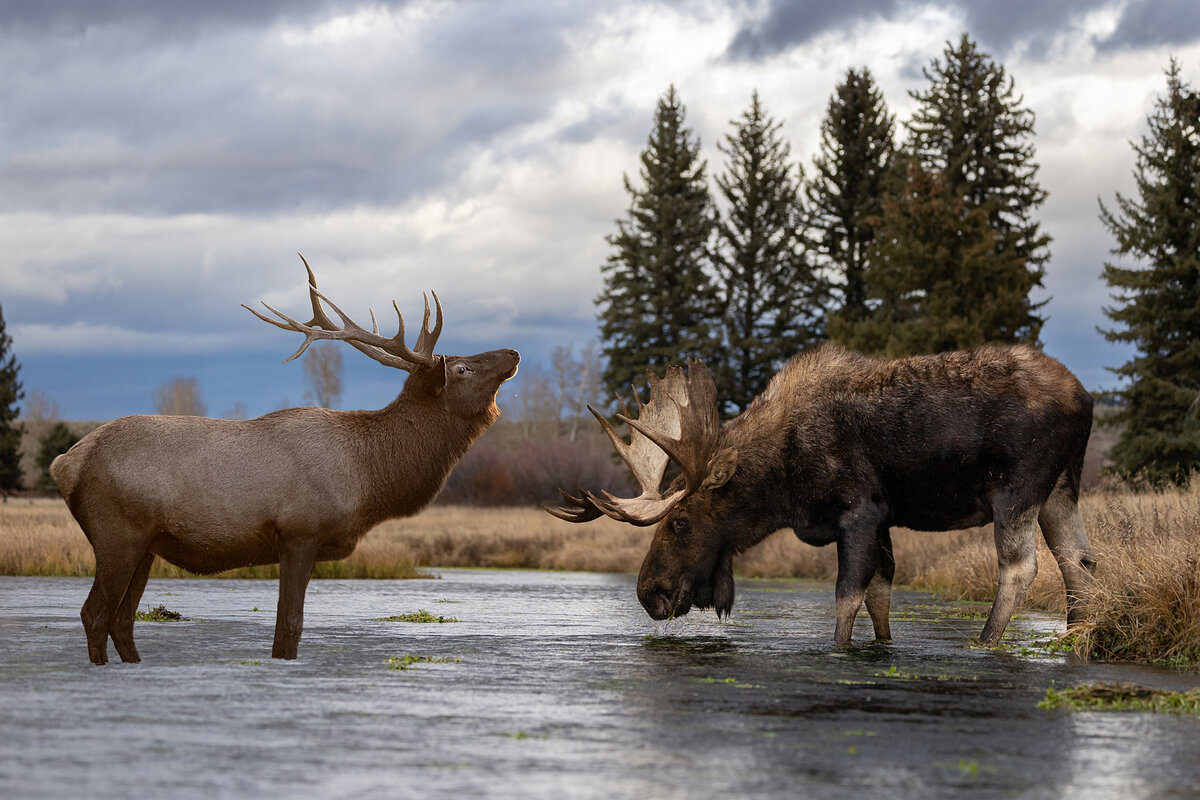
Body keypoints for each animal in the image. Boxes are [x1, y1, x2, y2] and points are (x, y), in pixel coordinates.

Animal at [52, 256, 520, 662]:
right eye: (461, 368)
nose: (513, 353)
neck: (369, 478)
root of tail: (65, 463)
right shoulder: (299, 532)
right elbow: (289, 627)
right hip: (117, 533)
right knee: (96, 614)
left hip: (147, 545)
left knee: (122, 620)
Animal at [549, 347, 1099, 647]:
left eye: (679, 521)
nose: (649, 593)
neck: (779, 484)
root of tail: (1087, 398)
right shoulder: (883, 521)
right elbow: (880, 596)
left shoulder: (860, 512)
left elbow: (846, 598)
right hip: (1061, 489)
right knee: (1079, 558)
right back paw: (1078, 633)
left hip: (1016, 488)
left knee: (1021, 566)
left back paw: (984, 642)